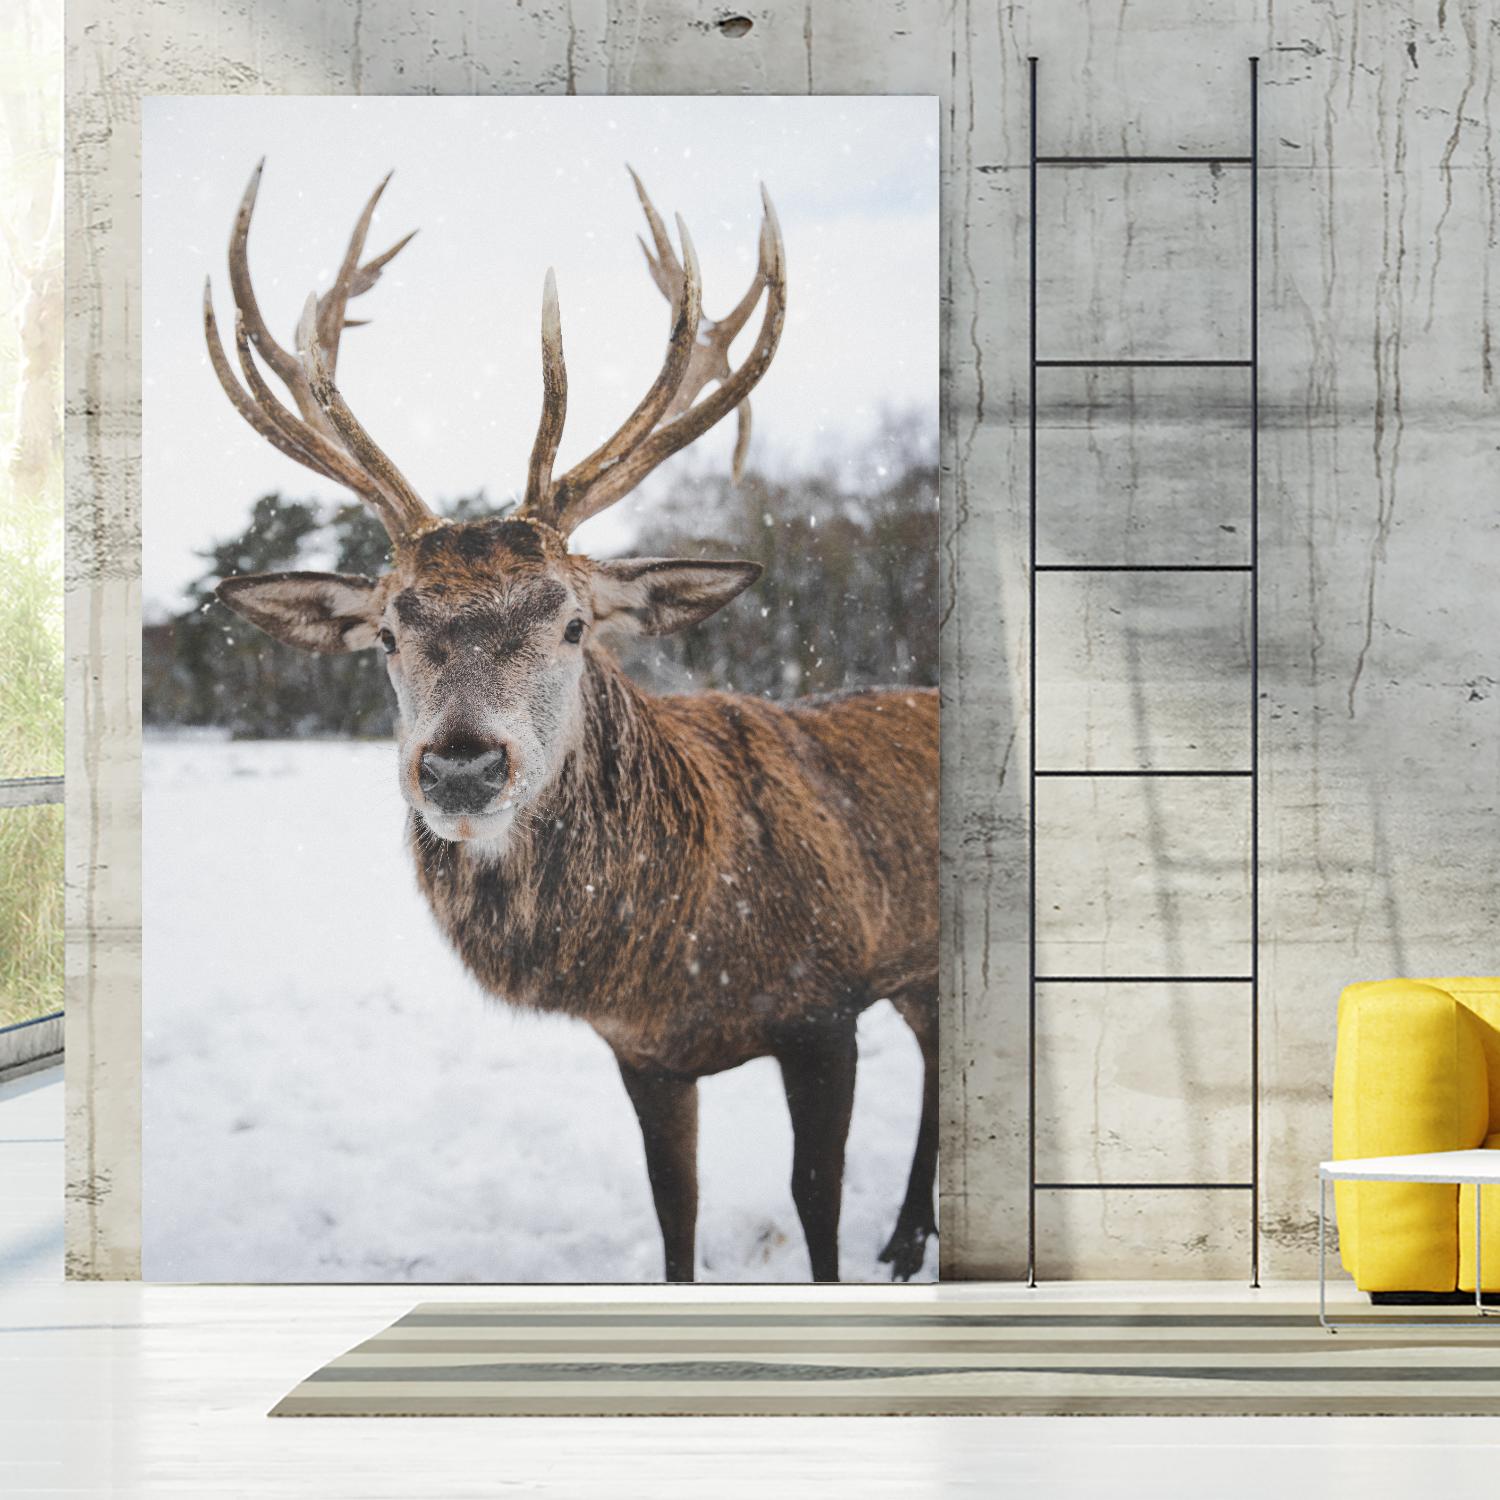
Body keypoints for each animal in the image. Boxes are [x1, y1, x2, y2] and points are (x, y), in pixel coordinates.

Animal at [202, 162, 939, 1283]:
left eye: (574, 621)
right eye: (387, 633)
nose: (461, 767)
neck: (683, 955)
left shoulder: (826, 1006)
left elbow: (815, 1205)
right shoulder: (642, 1053)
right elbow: (674, 1210)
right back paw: (906, 1234)